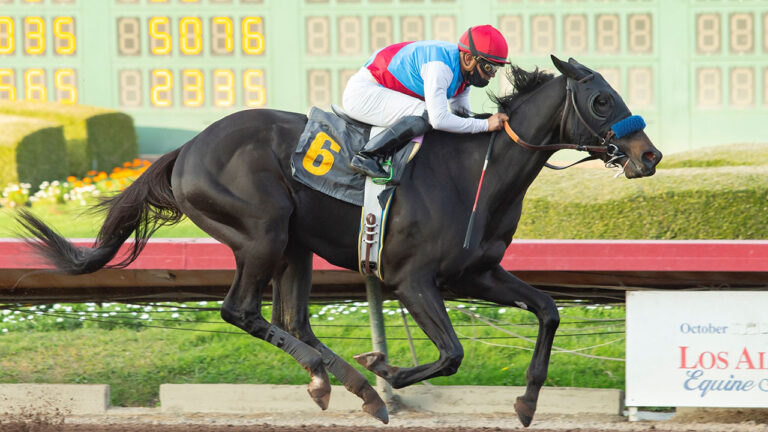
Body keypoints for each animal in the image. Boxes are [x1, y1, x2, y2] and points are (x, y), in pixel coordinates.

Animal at [21, 55, 664, 426]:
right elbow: (451, 354)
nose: (650, 156)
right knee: (241, 310)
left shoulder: (475, 273)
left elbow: (549, 310)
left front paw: (528, 402)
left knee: (292, 320)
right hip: (262, 231)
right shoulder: (411, 280)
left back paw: (344, 386)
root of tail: (187, 147)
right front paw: (389, 372)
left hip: (294, 246)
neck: (473, 172)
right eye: (602, 99)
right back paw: (357, 386)